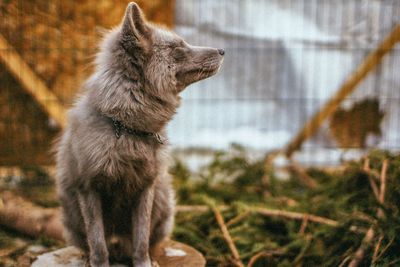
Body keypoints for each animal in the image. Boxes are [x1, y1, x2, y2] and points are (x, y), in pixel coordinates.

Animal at [54, 2, 225, 267]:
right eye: (178, 49)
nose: (222, 50)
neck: (125, 129)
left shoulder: (145, 187)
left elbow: (141, 240)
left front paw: (143, 262)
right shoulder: (88, 188)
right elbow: (98, 244)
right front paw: (98, 262)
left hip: (163, 200)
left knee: (148, 242)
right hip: (72, 215)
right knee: (93, 244)